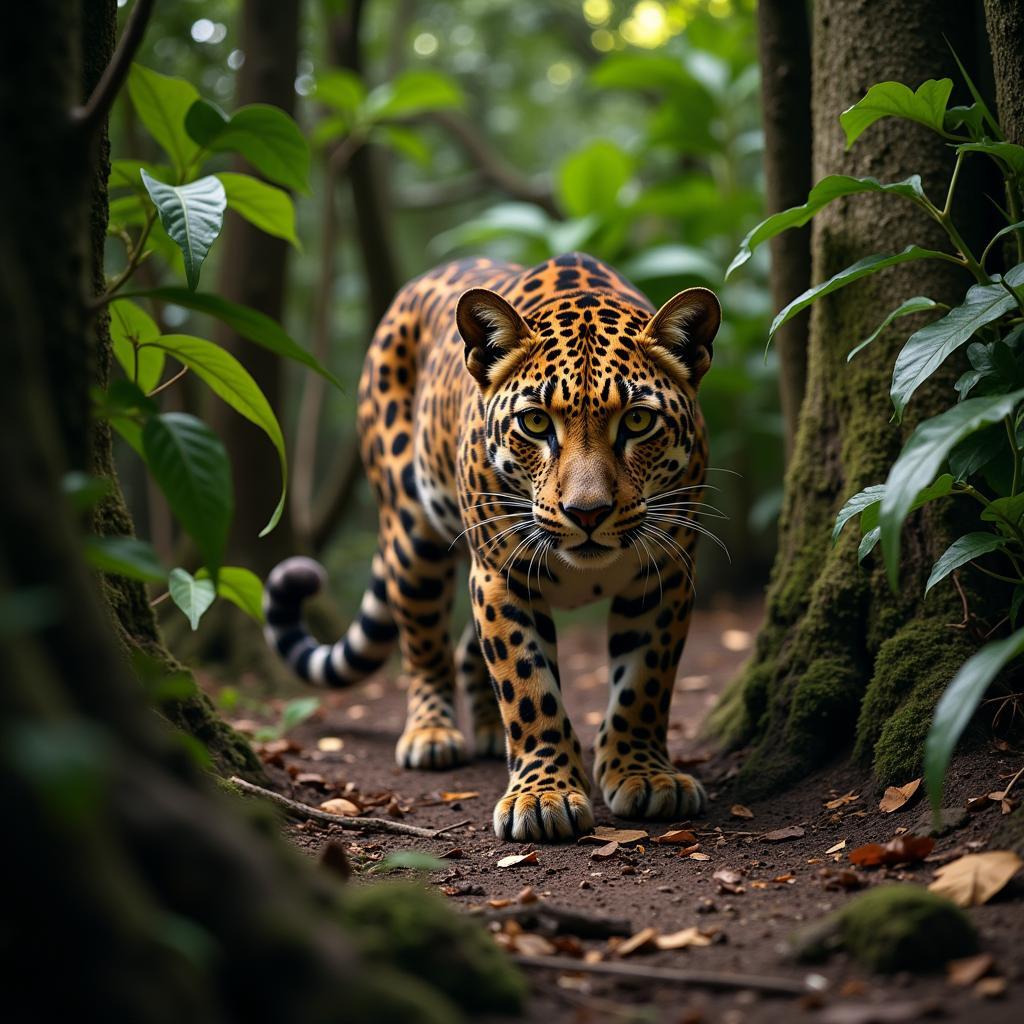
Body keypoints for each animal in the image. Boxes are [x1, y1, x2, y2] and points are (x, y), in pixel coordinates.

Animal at [264, 251, 720, 843]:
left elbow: (645, 682)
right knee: (425, 644)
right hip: (411, 537)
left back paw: (483, 728)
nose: (587, 513)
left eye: (638, 420)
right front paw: (545, 794)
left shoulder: (663, 574)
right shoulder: (501, 573)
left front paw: (643, 774)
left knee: (463, 649)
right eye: (536, 422)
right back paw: (433, 735)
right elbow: (527, 685)